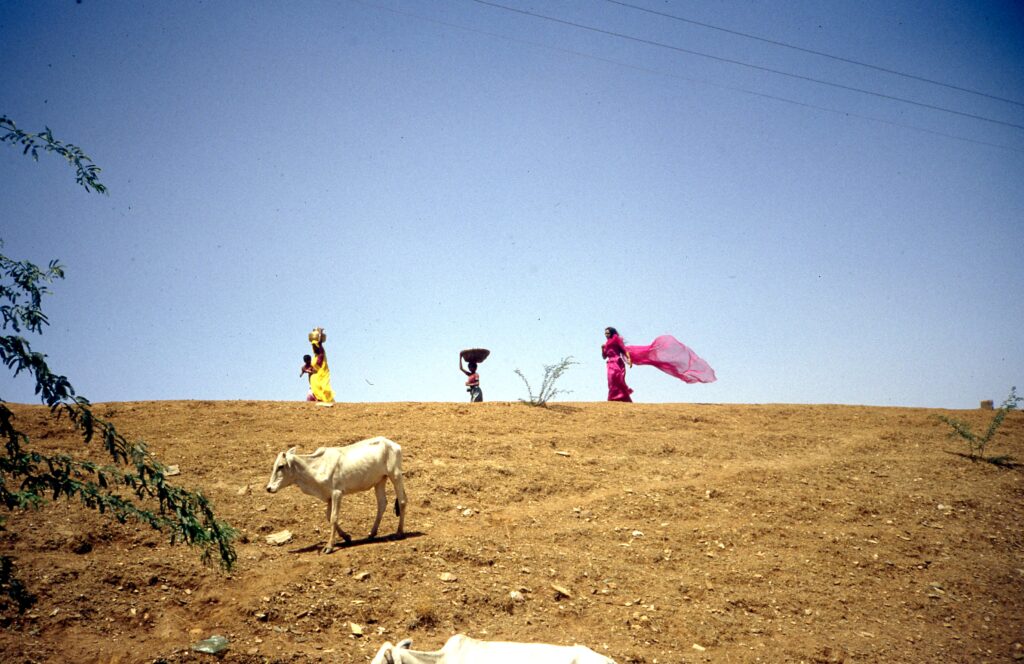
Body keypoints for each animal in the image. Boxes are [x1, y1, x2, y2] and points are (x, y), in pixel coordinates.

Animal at [266, 438, 405, 553]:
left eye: (281, 466)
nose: (269, 488)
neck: (315, 468)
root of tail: (393, 444)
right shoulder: (329, 497)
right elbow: (328, 516)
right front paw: (347, 537)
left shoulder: (337, 493)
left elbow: (333, 518)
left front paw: (329, 546)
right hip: (380, 481)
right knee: (382, 503)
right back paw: (372, 533)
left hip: (395, 475)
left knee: (402, 501)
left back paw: (399, 532)